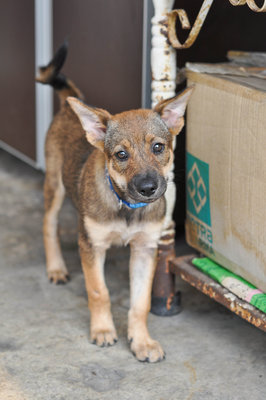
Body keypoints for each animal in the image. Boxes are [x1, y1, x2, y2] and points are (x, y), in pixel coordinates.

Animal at [37, 43, 192, 362]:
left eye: (158, 147)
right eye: (121, 155)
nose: (148, 188)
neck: (126, 206)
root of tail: (69, 109)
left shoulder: (146, 249)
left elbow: (141, 302)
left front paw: (142, 341)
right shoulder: (91, 245)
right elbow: (99, 291)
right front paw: (103, 330)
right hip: (55, 185)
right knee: (49, 223)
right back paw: (56, 268)